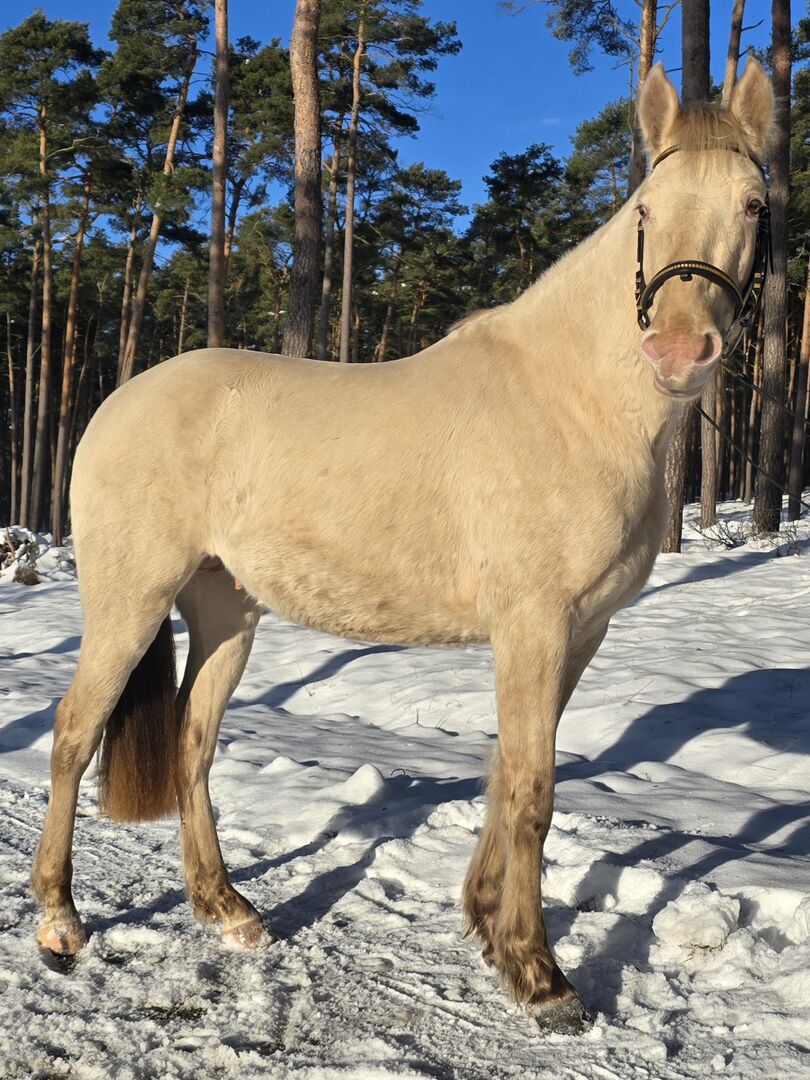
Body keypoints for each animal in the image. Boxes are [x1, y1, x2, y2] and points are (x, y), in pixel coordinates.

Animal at [31, 61, 774, 1034]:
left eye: (755, 203)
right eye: (646, 207)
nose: (681, 349)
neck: (574, 400)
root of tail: (117, 403)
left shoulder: (578, 633)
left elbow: (508, 769)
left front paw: (486, 924)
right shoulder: (534, 626)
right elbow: (533, 788)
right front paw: (540, 977)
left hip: (226, 611)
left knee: (192, 742)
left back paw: (227, 911)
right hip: (129, 601)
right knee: (74, 734)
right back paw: (59, 922)